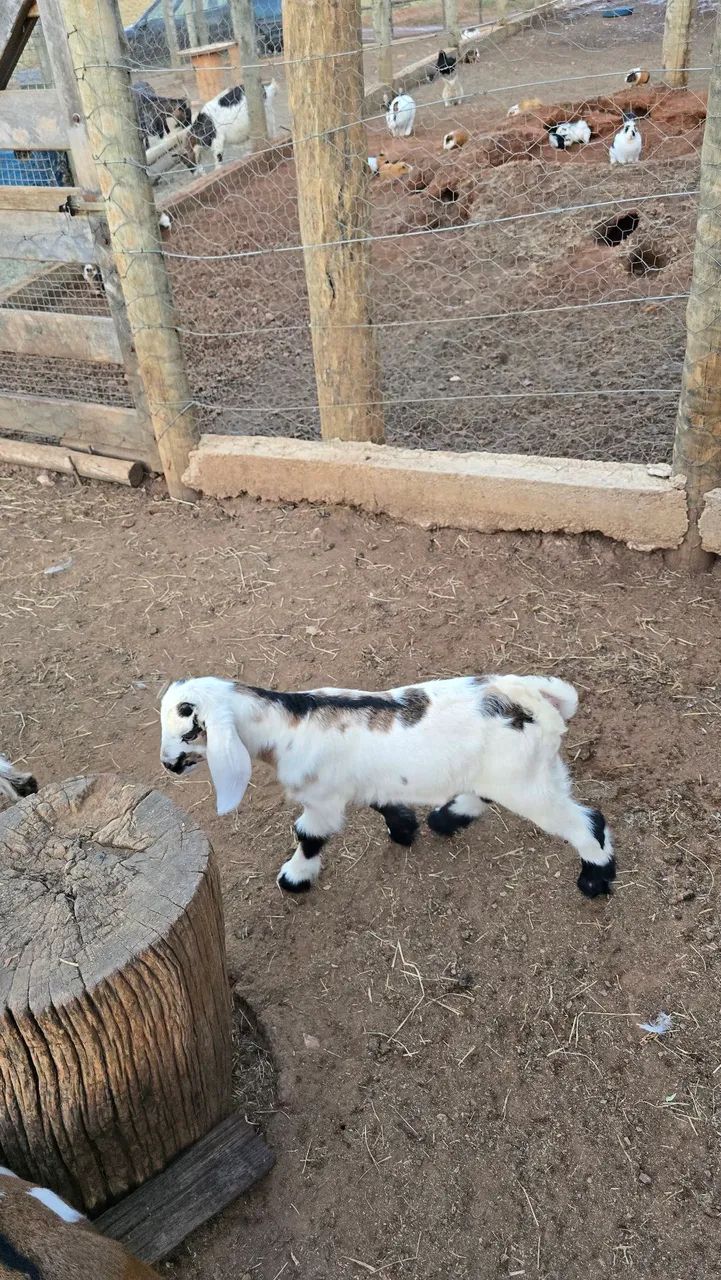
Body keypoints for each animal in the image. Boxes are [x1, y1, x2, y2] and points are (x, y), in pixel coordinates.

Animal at [159, 674, 616, 899]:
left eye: (190, 731)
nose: (168, 764)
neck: (287, 723)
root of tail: (530, 699)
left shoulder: (321, 800)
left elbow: (307, 835)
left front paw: (294, 878)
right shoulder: (365, 782)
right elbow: (384, 803)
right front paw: (404, 828)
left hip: (526, 781)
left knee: (587, 822)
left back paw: (595, 880)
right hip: (507, 771)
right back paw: (446, 819)